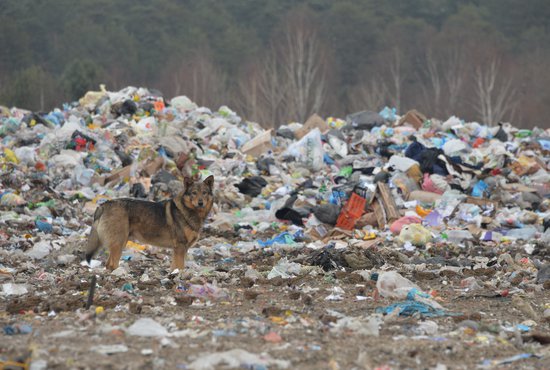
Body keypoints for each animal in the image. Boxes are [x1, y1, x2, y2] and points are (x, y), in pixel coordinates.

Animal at [86, 175, 216, 270]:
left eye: (204, 192)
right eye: (194, 193)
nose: (200, 203)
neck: (189, 212)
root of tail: (104, 204)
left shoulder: (179, 250)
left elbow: (174, 267)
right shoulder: (180, 247)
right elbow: (180, 268)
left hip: (120, 243)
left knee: (108, 264)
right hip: (118, 243)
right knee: (112, 264)